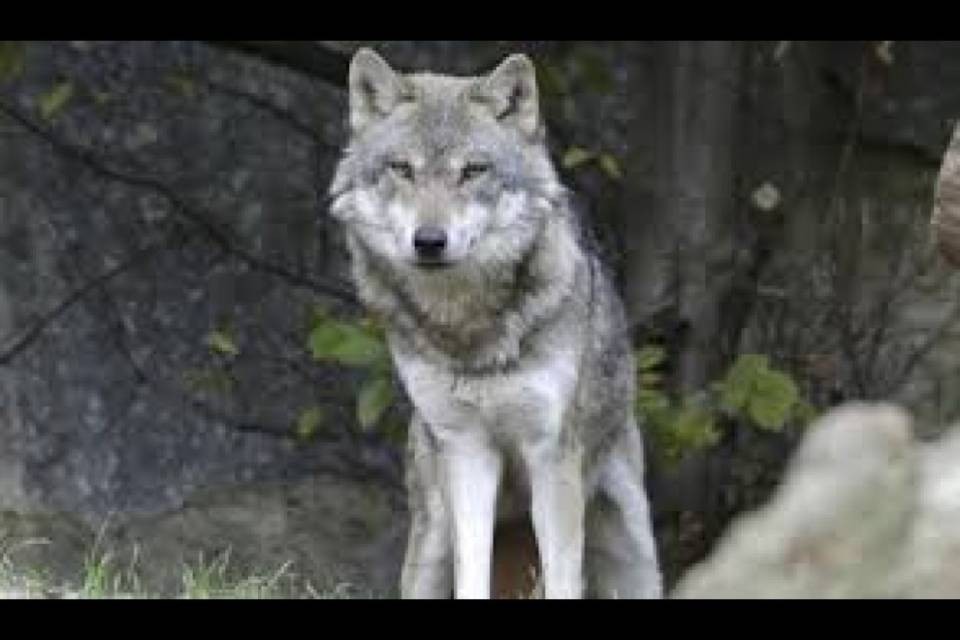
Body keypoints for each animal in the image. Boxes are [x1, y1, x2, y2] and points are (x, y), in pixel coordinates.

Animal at [328, 48, 662, 599]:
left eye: (473, 171)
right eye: (402, 169)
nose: (429, 241)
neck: (469, 330)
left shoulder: (552, 458)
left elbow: (563, 578)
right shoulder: (467, 452)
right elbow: (472, 572)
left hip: (633, 546)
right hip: (432, 537)